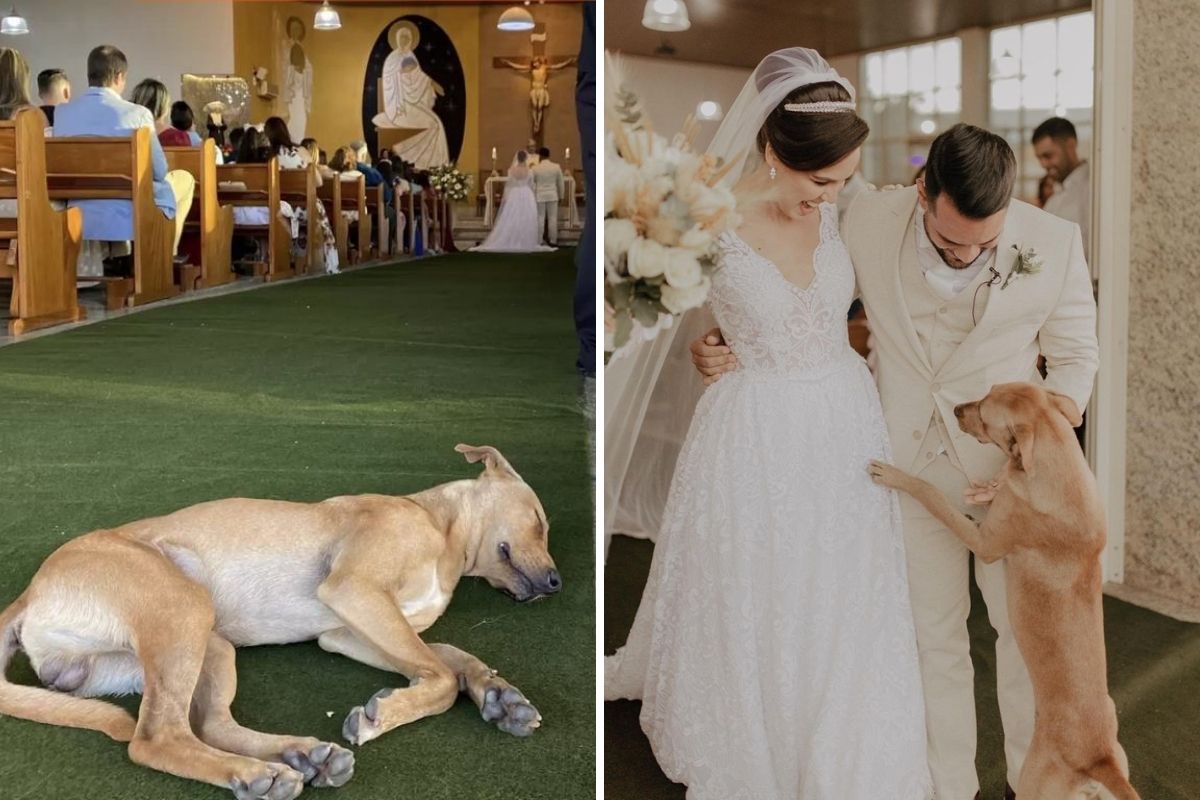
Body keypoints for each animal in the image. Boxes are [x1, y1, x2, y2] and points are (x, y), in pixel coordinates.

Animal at [0, 443, 559, 800]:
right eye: (539, 520)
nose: (556, 583)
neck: (440, 528)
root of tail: (26, 596)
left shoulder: (345, 632)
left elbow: (451, 659)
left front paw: (500, 696)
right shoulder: (354, 591)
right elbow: (440, 677)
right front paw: (386, 713)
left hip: (205, 644)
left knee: (208, 723)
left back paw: (298, 757)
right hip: (183, 607)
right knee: (157, 736)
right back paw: (255, 774)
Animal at [868, 383, 1137, 800]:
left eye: (984, 412)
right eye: (988, 390)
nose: (955, 410)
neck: (1059, 466)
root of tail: (1097, 759)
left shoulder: (984, 542)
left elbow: (933, 494)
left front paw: (897, 475)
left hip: (1033, 782)